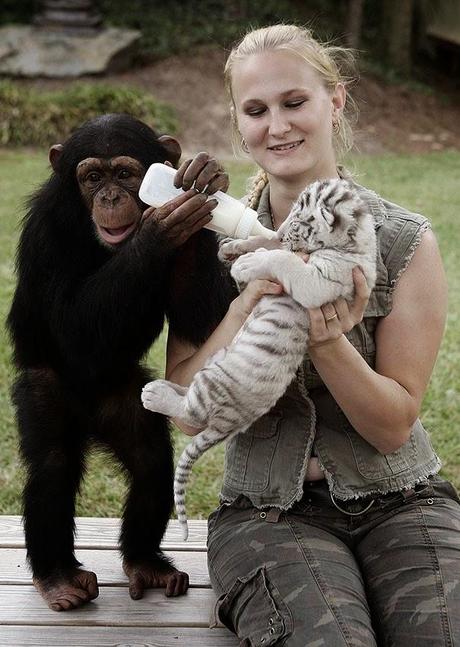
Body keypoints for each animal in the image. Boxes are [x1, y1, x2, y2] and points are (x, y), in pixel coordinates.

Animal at [8, 112, 234, 612]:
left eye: (125, 174)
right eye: (92, 177)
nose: (110, 197)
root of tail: (90, 421)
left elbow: (205, 323)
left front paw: (203, 179)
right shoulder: (45, 232)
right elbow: (71, 328)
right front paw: (160, 228)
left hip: (125, 399)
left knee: (151, 461)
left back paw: (145, 562)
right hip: (47, 391)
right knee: (53, 463)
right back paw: (58, 577)